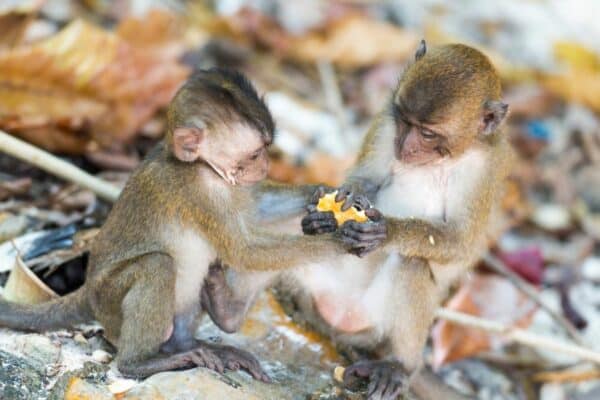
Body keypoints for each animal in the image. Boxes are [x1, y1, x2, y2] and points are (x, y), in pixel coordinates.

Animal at [0, 69, 356, 382]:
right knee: (158, 265)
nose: (267, 166)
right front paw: (339, 241)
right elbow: (245, 251)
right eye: (255, 154)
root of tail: (87, 293)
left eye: (266, 151)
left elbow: (257, 210)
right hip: (109, 301)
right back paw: (140, 362)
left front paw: (323, 196)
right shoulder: (200, 192)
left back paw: (203, 331)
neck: (203, 167)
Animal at [202, 42, 510, 398]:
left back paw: (399, 365)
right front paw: (339, 204)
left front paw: (387, 231)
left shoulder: (483, 169)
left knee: (413, 263)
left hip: (373, 320)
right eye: (404, 119)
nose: (404, 146)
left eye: (428, 133)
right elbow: (365, 180)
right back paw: (228, 308)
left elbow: (460, 243)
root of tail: (340, 317)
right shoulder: (386, 125)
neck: (443, 159)